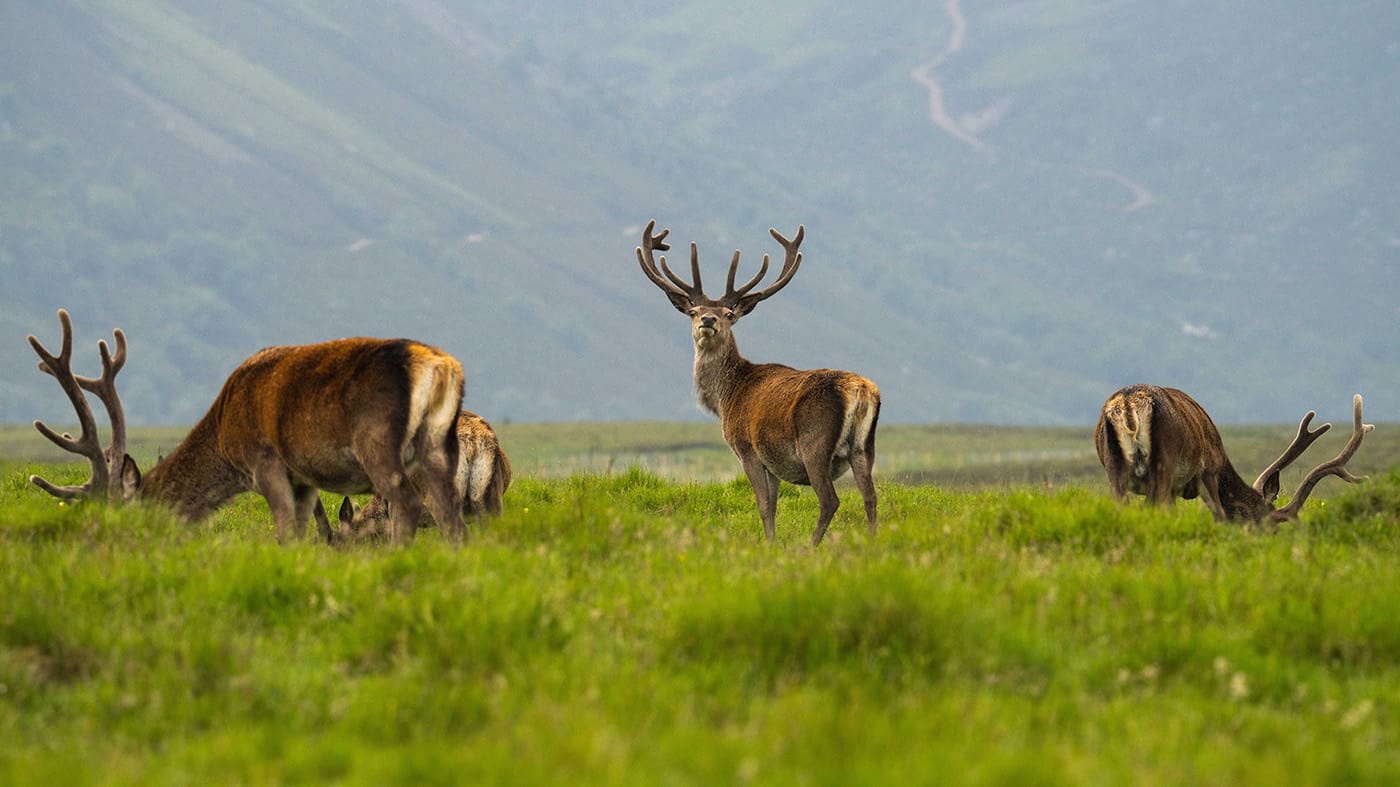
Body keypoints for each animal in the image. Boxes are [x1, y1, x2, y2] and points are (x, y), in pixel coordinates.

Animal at [27, 308, 467, 544]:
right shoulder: (303, 478)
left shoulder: (264, 461)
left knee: (409, 503)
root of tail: (441, 366)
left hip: (377, 441)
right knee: (452, 513)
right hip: (438, 445)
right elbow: (304, 530)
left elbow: (285, 532)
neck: (225, 442)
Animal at [636, 220, 880, 546]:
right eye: (693, 311)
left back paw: (810, 546)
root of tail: (860, 390)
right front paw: (772, 541)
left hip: (815, 443)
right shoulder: (773, 461)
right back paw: (872, 543)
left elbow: (763, 504)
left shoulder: (746, 448)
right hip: (864, 447)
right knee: (871, 497)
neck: (726, 397)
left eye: (729, 313)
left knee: (830, 500)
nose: (708, 320)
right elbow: (774, 505)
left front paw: (769, 544)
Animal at [1094, 384, 1373, 523]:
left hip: (1114, 465)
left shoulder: (1177, 487)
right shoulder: (1208, 470)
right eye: (1270, 524)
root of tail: (1128, 404)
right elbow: (1219, 514)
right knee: (1151, 505)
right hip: (1163, 461)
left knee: (1122, 503)